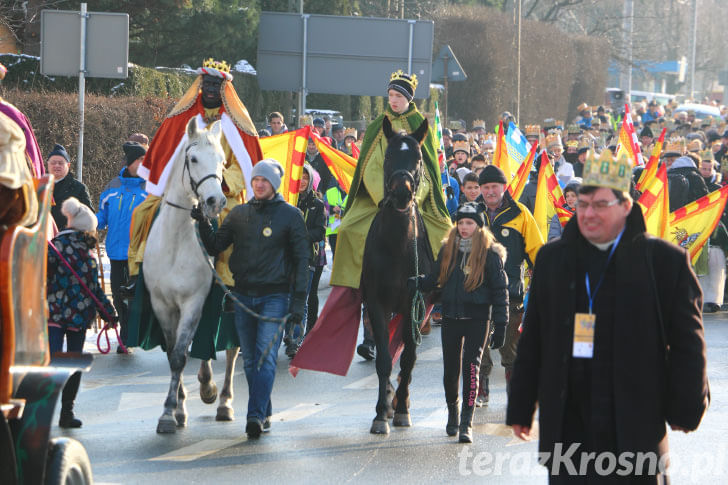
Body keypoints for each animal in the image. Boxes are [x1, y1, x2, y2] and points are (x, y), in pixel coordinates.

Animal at [144, 118, 239, 434]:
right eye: (193, 158)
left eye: (222, 161)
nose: (214, 201)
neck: (175, 243)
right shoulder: (162, 305)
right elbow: (173, 352)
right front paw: (176, 410)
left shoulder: (193, 303)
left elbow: (181, 355)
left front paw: (169, 410)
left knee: (232, 349)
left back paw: (223, 401)